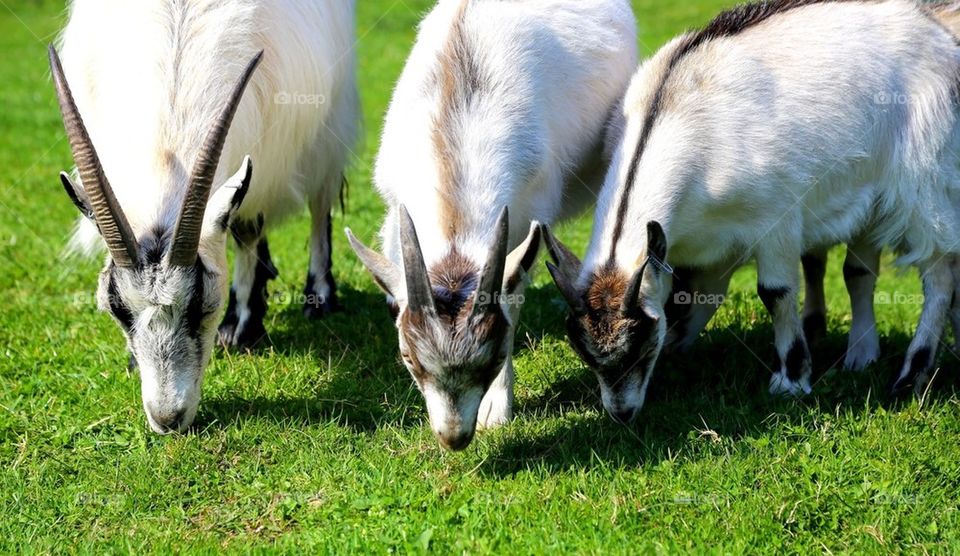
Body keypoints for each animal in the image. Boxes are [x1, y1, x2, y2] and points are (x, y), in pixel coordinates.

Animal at [52, 0, 359, 433]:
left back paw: (318, 297)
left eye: (202, 304)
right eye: (118, 309)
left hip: (328, 126)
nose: (167, 418)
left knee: (319, 201)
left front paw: (241, 326)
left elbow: (247, 227)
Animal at [346, 0, 637, 450]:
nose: (454, 437)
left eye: (497, 354)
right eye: (409, 358)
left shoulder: (527, 216)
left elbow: (513, 298)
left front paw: (495, 410)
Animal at [546, 0, 960, 422]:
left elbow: (774, 292)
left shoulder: (776, 218)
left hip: (925, 183)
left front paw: (791, 378)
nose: (622, 414)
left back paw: (911, 375)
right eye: (586, 354)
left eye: (641, 346)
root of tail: (938, 35)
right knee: (864, 271)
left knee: (940, 273)